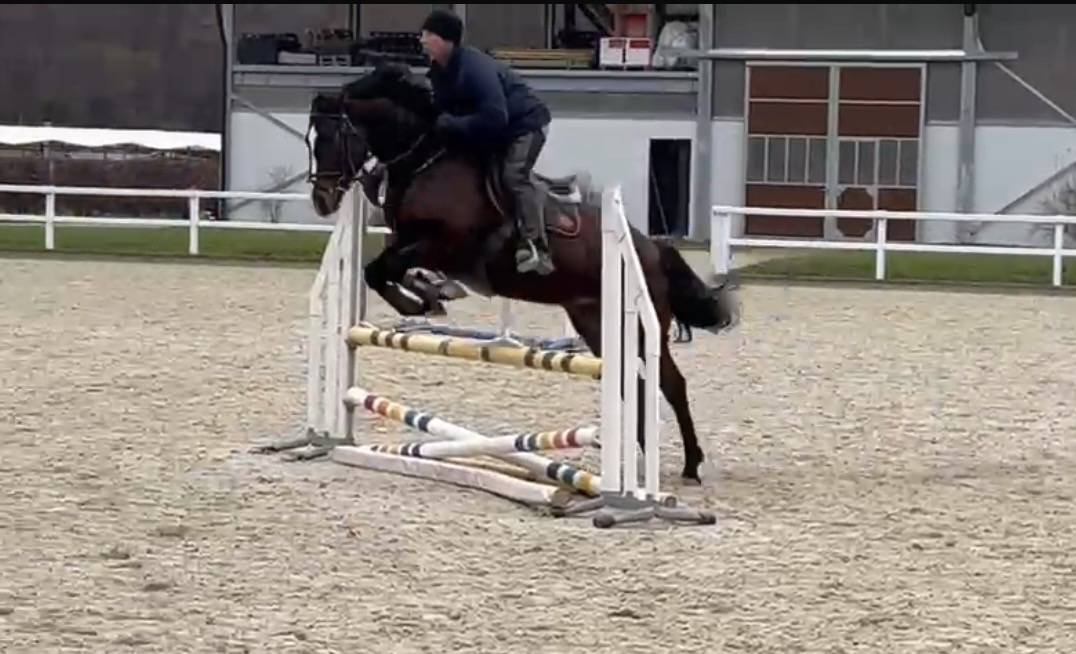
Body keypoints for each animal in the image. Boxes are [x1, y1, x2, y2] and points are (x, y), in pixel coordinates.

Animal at [304, 63, 739, 484]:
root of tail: (650, 246)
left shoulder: (446, 245)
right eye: (311, 141)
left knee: (671, 383)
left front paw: (421, 302)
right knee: (636, 384)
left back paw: (690, 465)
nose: (322, 201)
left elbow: (381, 270)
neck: (426, 162)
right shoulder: (412, 243)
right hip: (596, 325)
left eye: (330, 138)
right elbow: (383, 270)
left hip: (641, 324)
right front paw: (431, 296)